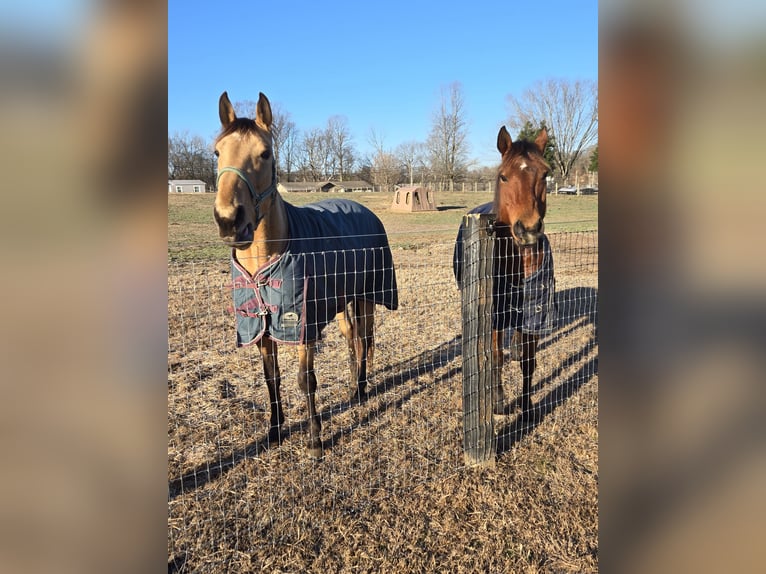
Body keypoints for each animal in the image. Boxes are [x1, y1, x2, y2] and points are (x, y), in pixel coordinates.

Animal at [213, 91, 398, 459]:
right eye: (217, 152)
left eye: (265, 153)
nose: (228, 221)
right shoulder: (262, 328)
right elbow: (272, 379)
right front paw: (274, 431)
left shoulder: (301, 326)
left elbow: (304, 379)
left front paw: (314, 439)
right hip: (342, 303)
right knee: (353, 340)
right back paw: (353, 387)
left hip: (367, 297)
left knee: (366, 339)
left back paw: (361, 389)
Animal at [454, 126, 556, 423]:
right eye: (503, 176)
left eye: (544, 174)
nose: (529, 229)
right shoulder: (496, 315)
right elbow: (495, 356)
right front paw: (499, 403)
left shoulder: (535, 313)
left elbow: (529, 362)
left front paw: (528, 409)